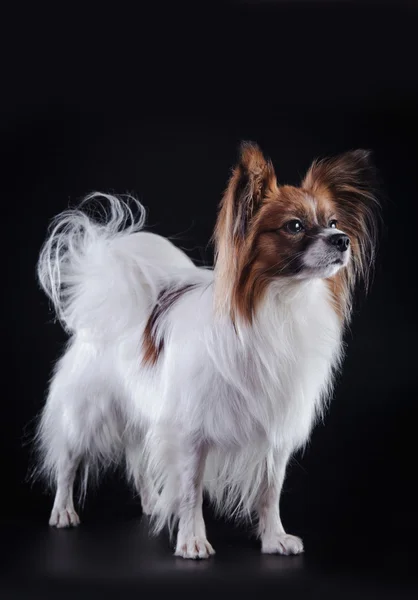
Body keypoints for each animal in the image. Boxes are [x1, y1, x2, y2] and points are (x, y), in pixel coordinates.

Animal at [36, 141, 378, 556]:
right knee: (68, 459)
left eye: (333, 222)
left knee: (139, 461)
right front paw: (193, 541)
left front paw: (274, 538)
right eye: (294, 226)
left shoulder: (275, 433)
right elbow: (191, 491)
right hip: (86, 412)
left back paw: (152, 504)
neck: (281, 304)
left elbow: (270, 490)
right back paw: (63, 511)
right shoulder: (190, 431)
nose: (342, 240)